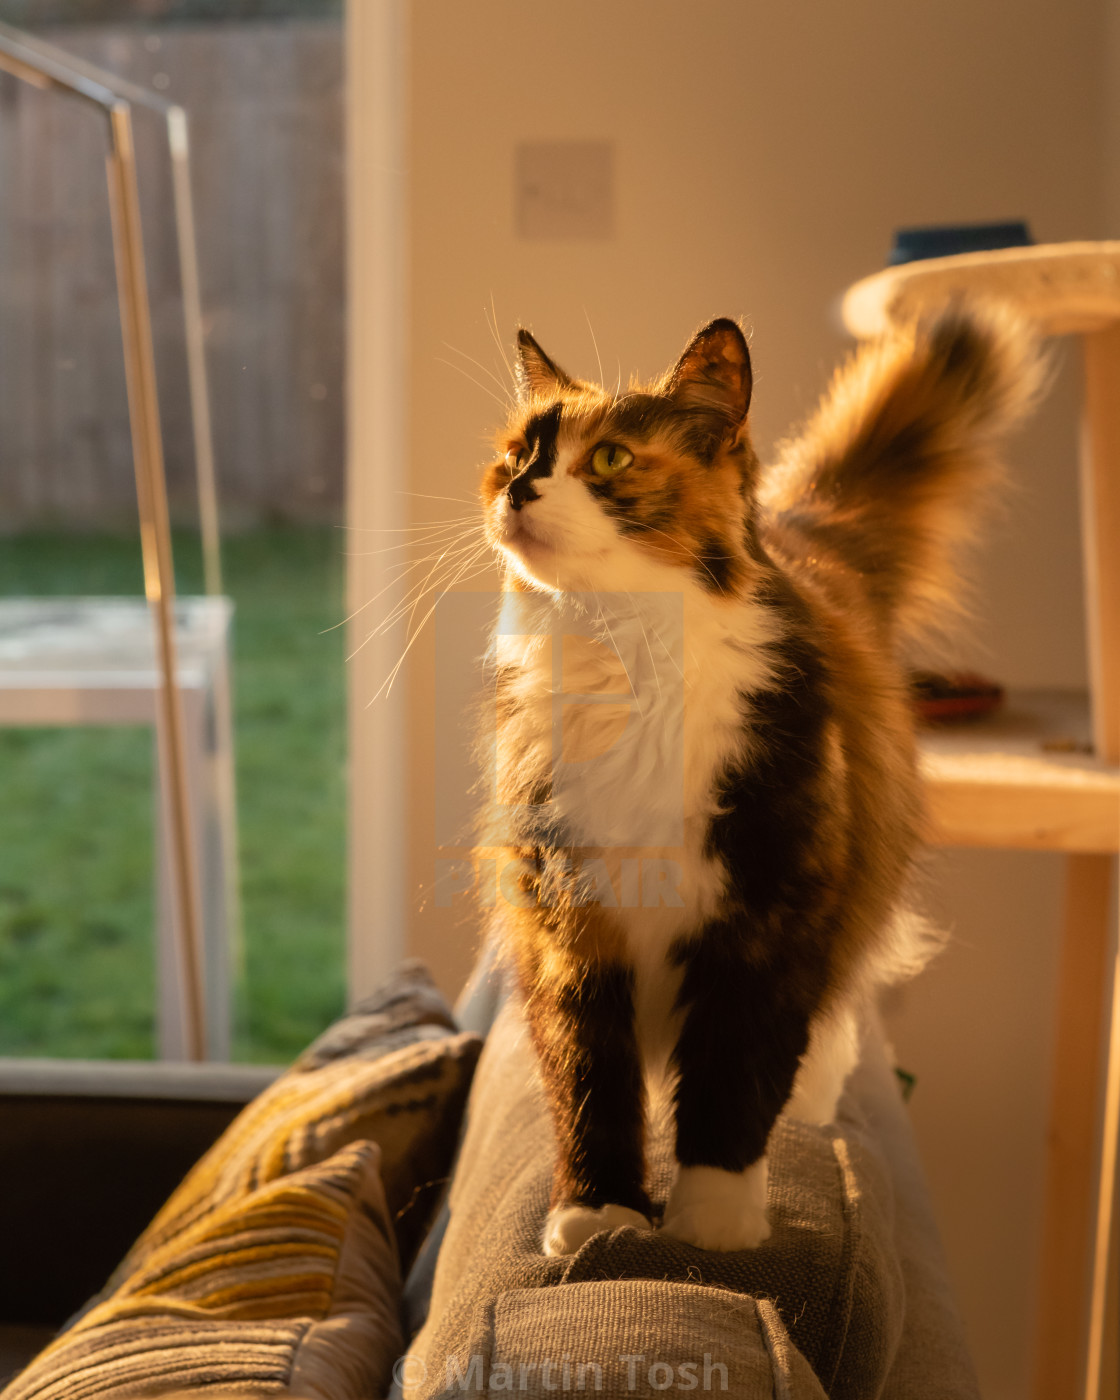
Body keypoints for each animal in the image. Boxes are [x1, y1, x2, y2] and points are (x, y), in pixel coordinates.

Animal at [473, 303, 1041, 1248]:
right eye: (517, 454)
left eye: (609, 459)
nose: (518, 491)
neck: (626, 660)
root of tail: (799, 533)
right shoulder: (567, 923)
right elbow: (591, 1079)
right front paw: (599, 1212)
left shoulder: (772, 910)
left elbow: (736, 1073)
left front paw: (711, 1221)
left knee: (834, 1007)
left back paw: (813, 1092)